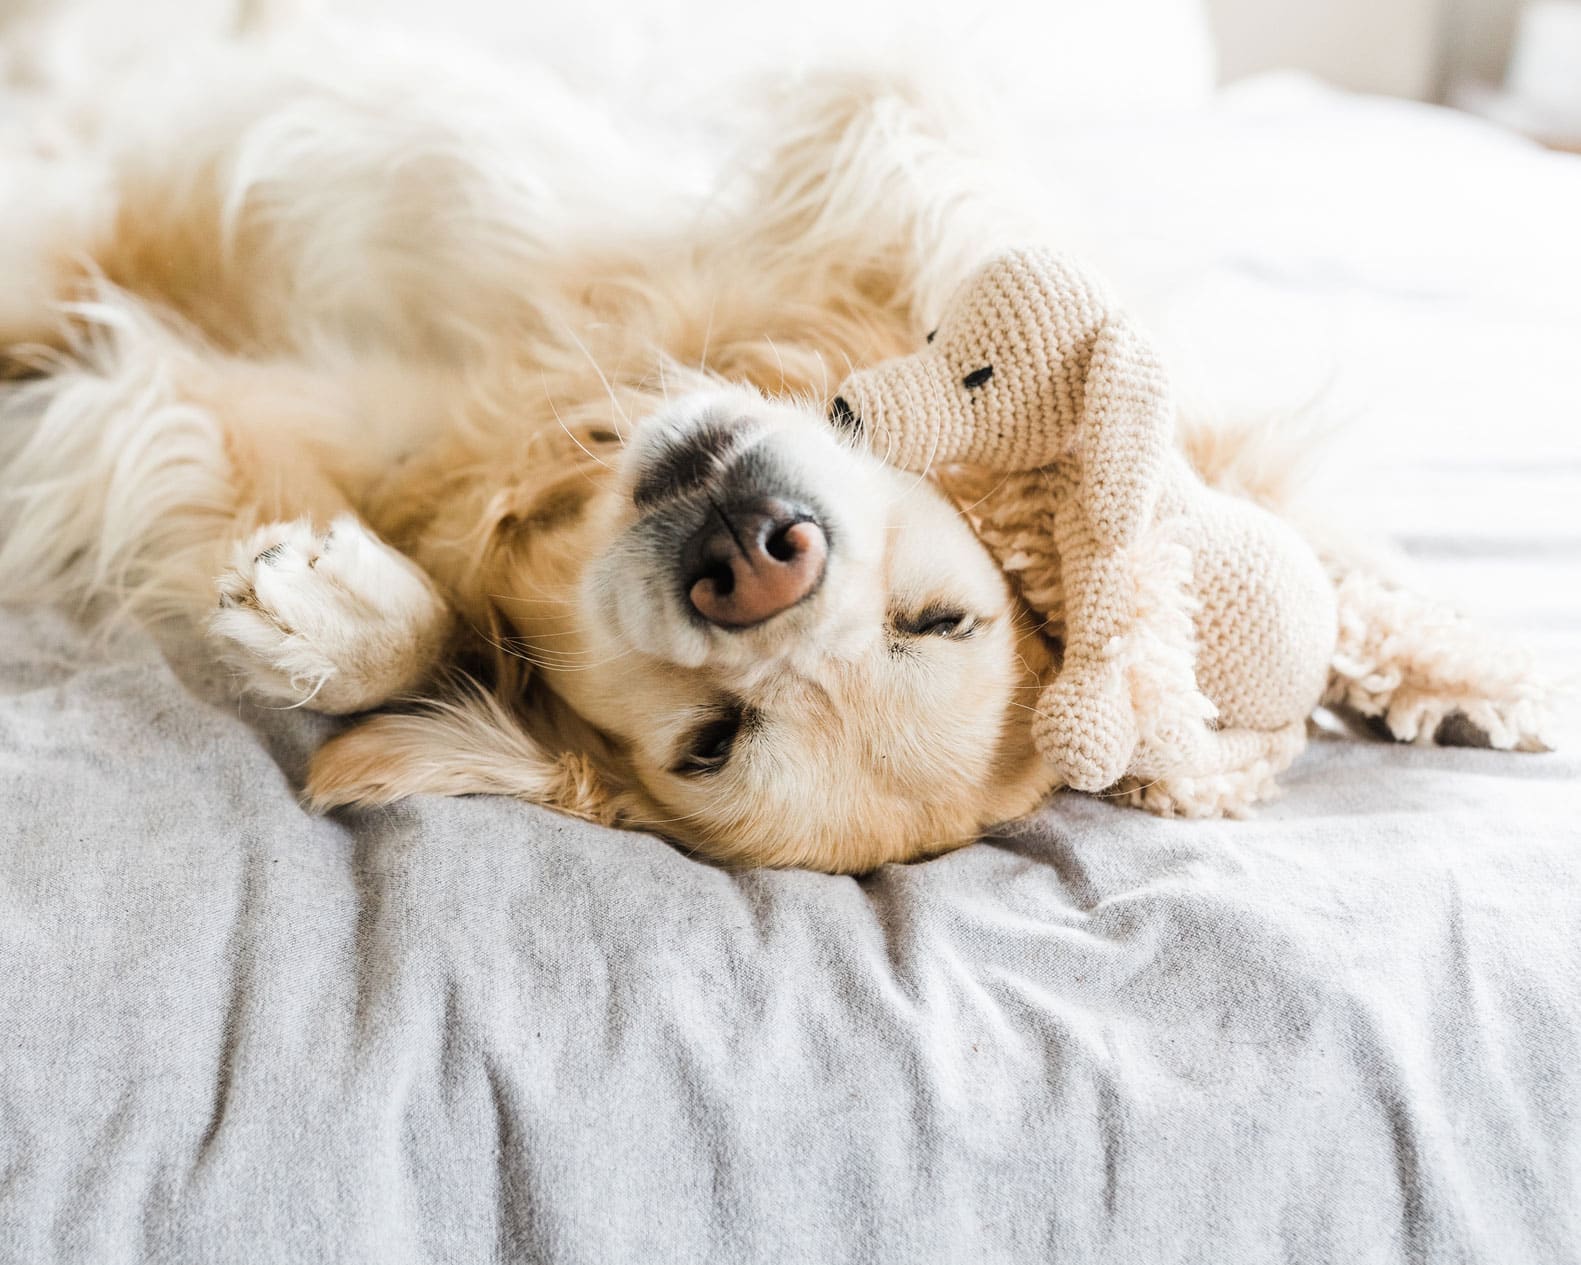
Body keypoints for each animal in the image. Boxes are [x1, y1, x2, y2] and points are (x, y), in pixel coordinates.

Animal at [0, 22, 1555, 872]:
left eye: (713, 741)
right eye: (950, 618)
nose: (754, 564)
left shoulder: (193, 392)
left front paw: (338, 616)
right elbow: (999, 242)